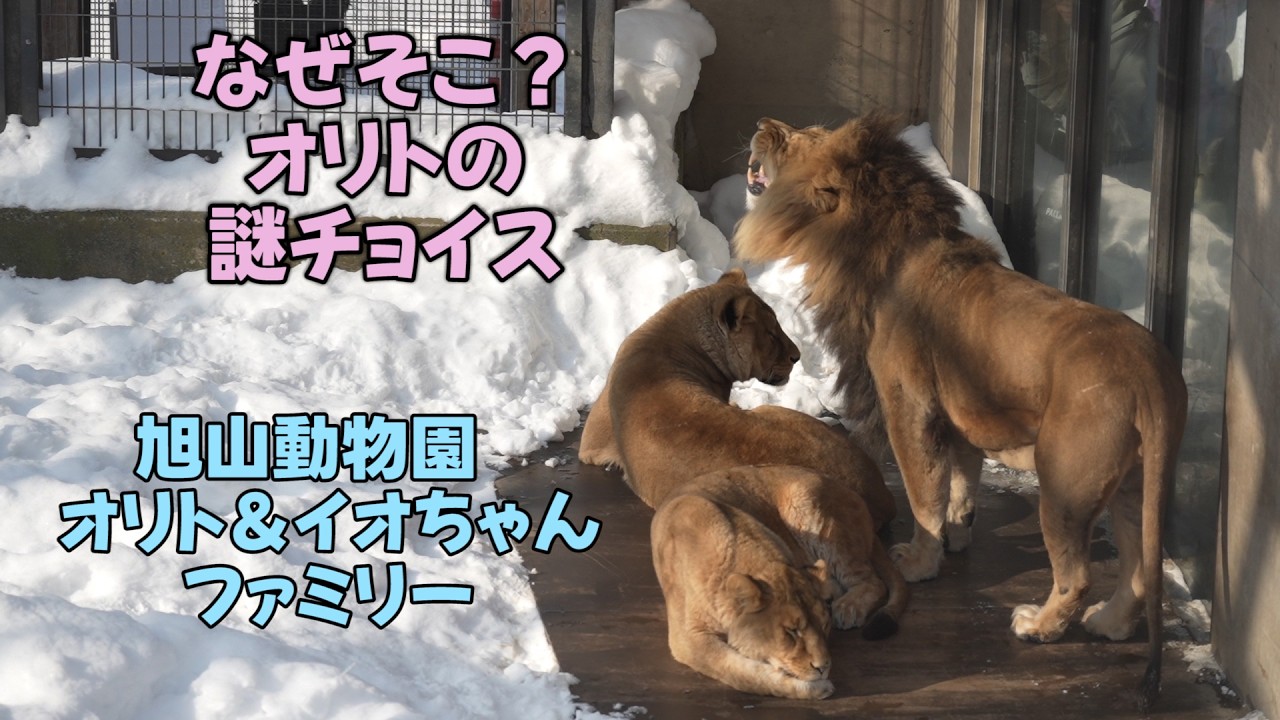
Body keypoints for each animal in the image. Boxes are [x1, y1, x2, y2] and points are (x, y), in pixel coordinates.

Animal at [578, 268, 896, 530]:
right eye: (771, 333)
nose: (797, 356)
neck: (672, 335)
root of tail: (880, 494)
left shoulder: (591, 443)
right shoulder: (590, 444)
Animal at [653, 464, 908, 699]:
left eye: (824, 624)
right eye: (791, 632)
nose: (824, 667)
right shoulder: (688, 639)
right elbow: (741, 673)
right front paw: (812, 688)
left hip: (809, 503)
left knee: (874, 581)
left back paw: (848, 607)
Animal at [734, 114, 1188, 710]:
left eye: (798, 137)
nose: (762, 123)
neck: (885, 251)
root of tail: (1150, 372)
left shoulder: (909, 405)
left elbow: (922, 489)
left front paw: (920, 560)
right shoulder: (961, 411)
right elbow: (960, 481)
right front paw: (958, 531)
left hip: (1066, 484)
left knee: (1078, 573)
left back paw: (1039, 626)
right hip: (1135, 486)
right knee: (1137, 571)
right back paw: (1107, 624)